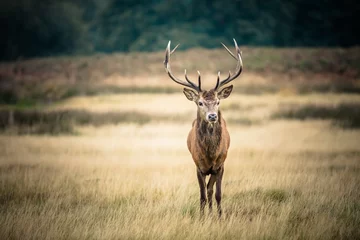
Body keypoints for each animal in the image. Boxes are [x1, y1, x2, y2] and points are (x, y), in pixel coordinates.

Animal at [164, 39, 243, 218]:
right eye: (200, 102)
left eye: (218, 101)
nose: (212, 116)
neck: (210, 154)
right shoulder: (198, 166)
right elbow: (201, 195)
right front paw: (201, 217)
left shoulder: (220, 165)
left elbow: (217, 193)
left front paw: (220, 217)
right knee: (206, 191)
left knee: (210, 190)